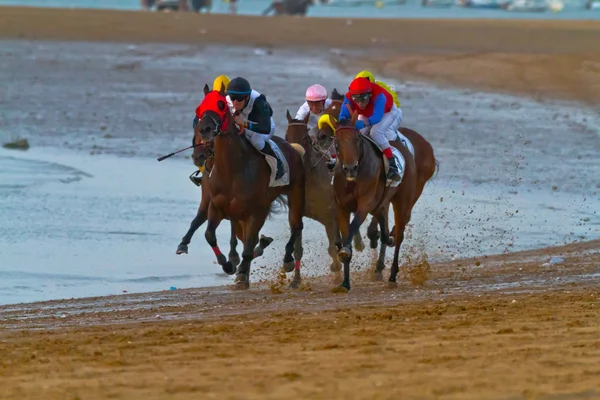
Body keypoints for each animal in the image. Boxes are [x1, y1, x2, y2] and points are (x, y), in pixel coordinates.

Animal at [193, 86, 304, 290]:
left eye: (221, 105)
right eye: (201, 106)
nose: (205, 129)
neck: (232, 169)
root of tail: (293, 148)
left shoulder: (257, 211)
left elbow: (249, 245)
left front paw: (242, 274)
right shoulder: (217, 206)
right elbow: (209, 235)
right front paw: (228, 265)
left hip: (296, 193)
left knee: (296, 225)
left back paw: (287, 260)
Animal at [284, 108, 366, 282]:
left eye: (305, 137)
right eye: (286, 137)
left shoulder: (331, 213)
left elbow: (336, 244)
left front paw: (337, 267)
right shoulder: (297, 214)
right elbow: (298, 248)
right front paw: (295, 279)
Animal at [330, 111, 420, 292]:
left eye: (357, 140)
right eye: (336, 143)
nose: (350, 168)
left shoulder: (365, 204)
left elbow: (353, 227)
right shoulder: (341, 208)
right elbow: (346, 236)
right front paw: (345, 283)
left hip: (403, 201)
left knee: (399, 235)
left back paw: (392, 276)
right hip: (381, 204)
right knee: (384, 228)